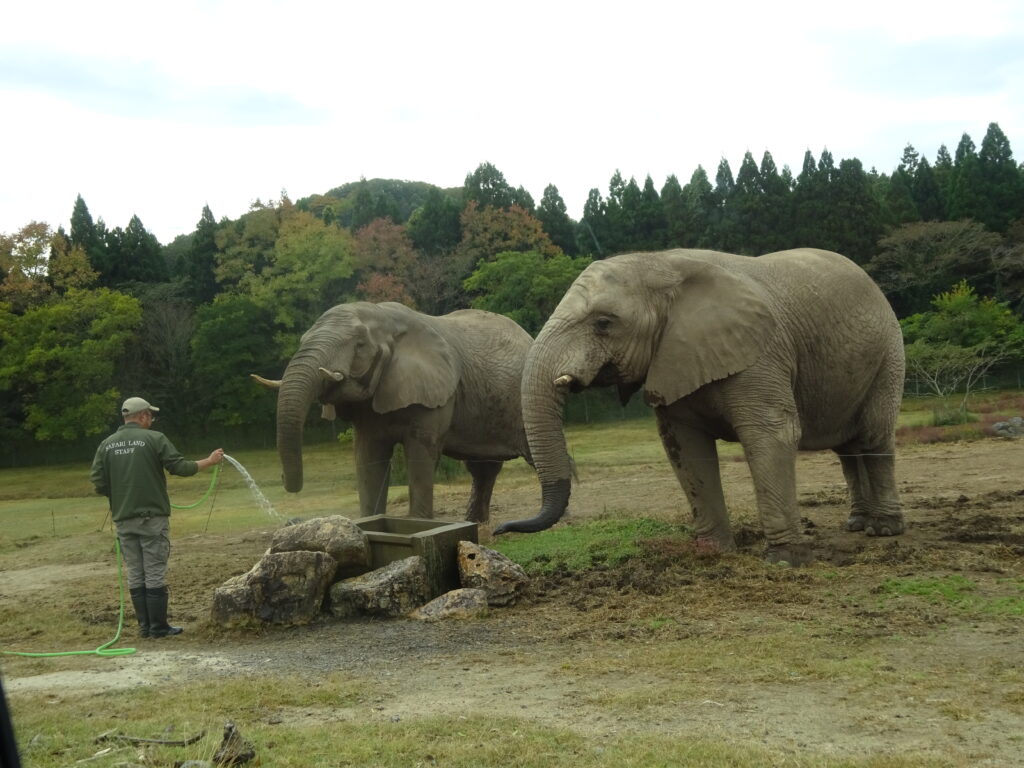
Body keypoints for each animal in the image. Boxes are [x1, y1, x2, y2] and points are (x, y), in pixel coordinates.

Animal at [254, 301, 533, 523]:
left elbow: (420, 452)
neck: (384, 316)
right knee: (483, 468)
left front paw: (419, 524)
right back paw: (477, 524)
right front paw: (368, 522)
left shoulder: (436, 392)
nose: (282, 478)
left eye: (359, 345)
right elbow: (368, 456)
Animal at [494, 248, 905, 565]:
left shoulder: (762, 353)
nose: (500, 529)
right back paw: (856, 524)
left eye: (604, 323)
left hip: (889, 350)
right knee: (847, 447)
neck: (662, 265)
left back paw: (884, 530)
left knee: (874, 436)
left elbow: (771, 436)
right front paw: (713, 553)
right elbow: (685, 448)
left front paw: (786, 561)